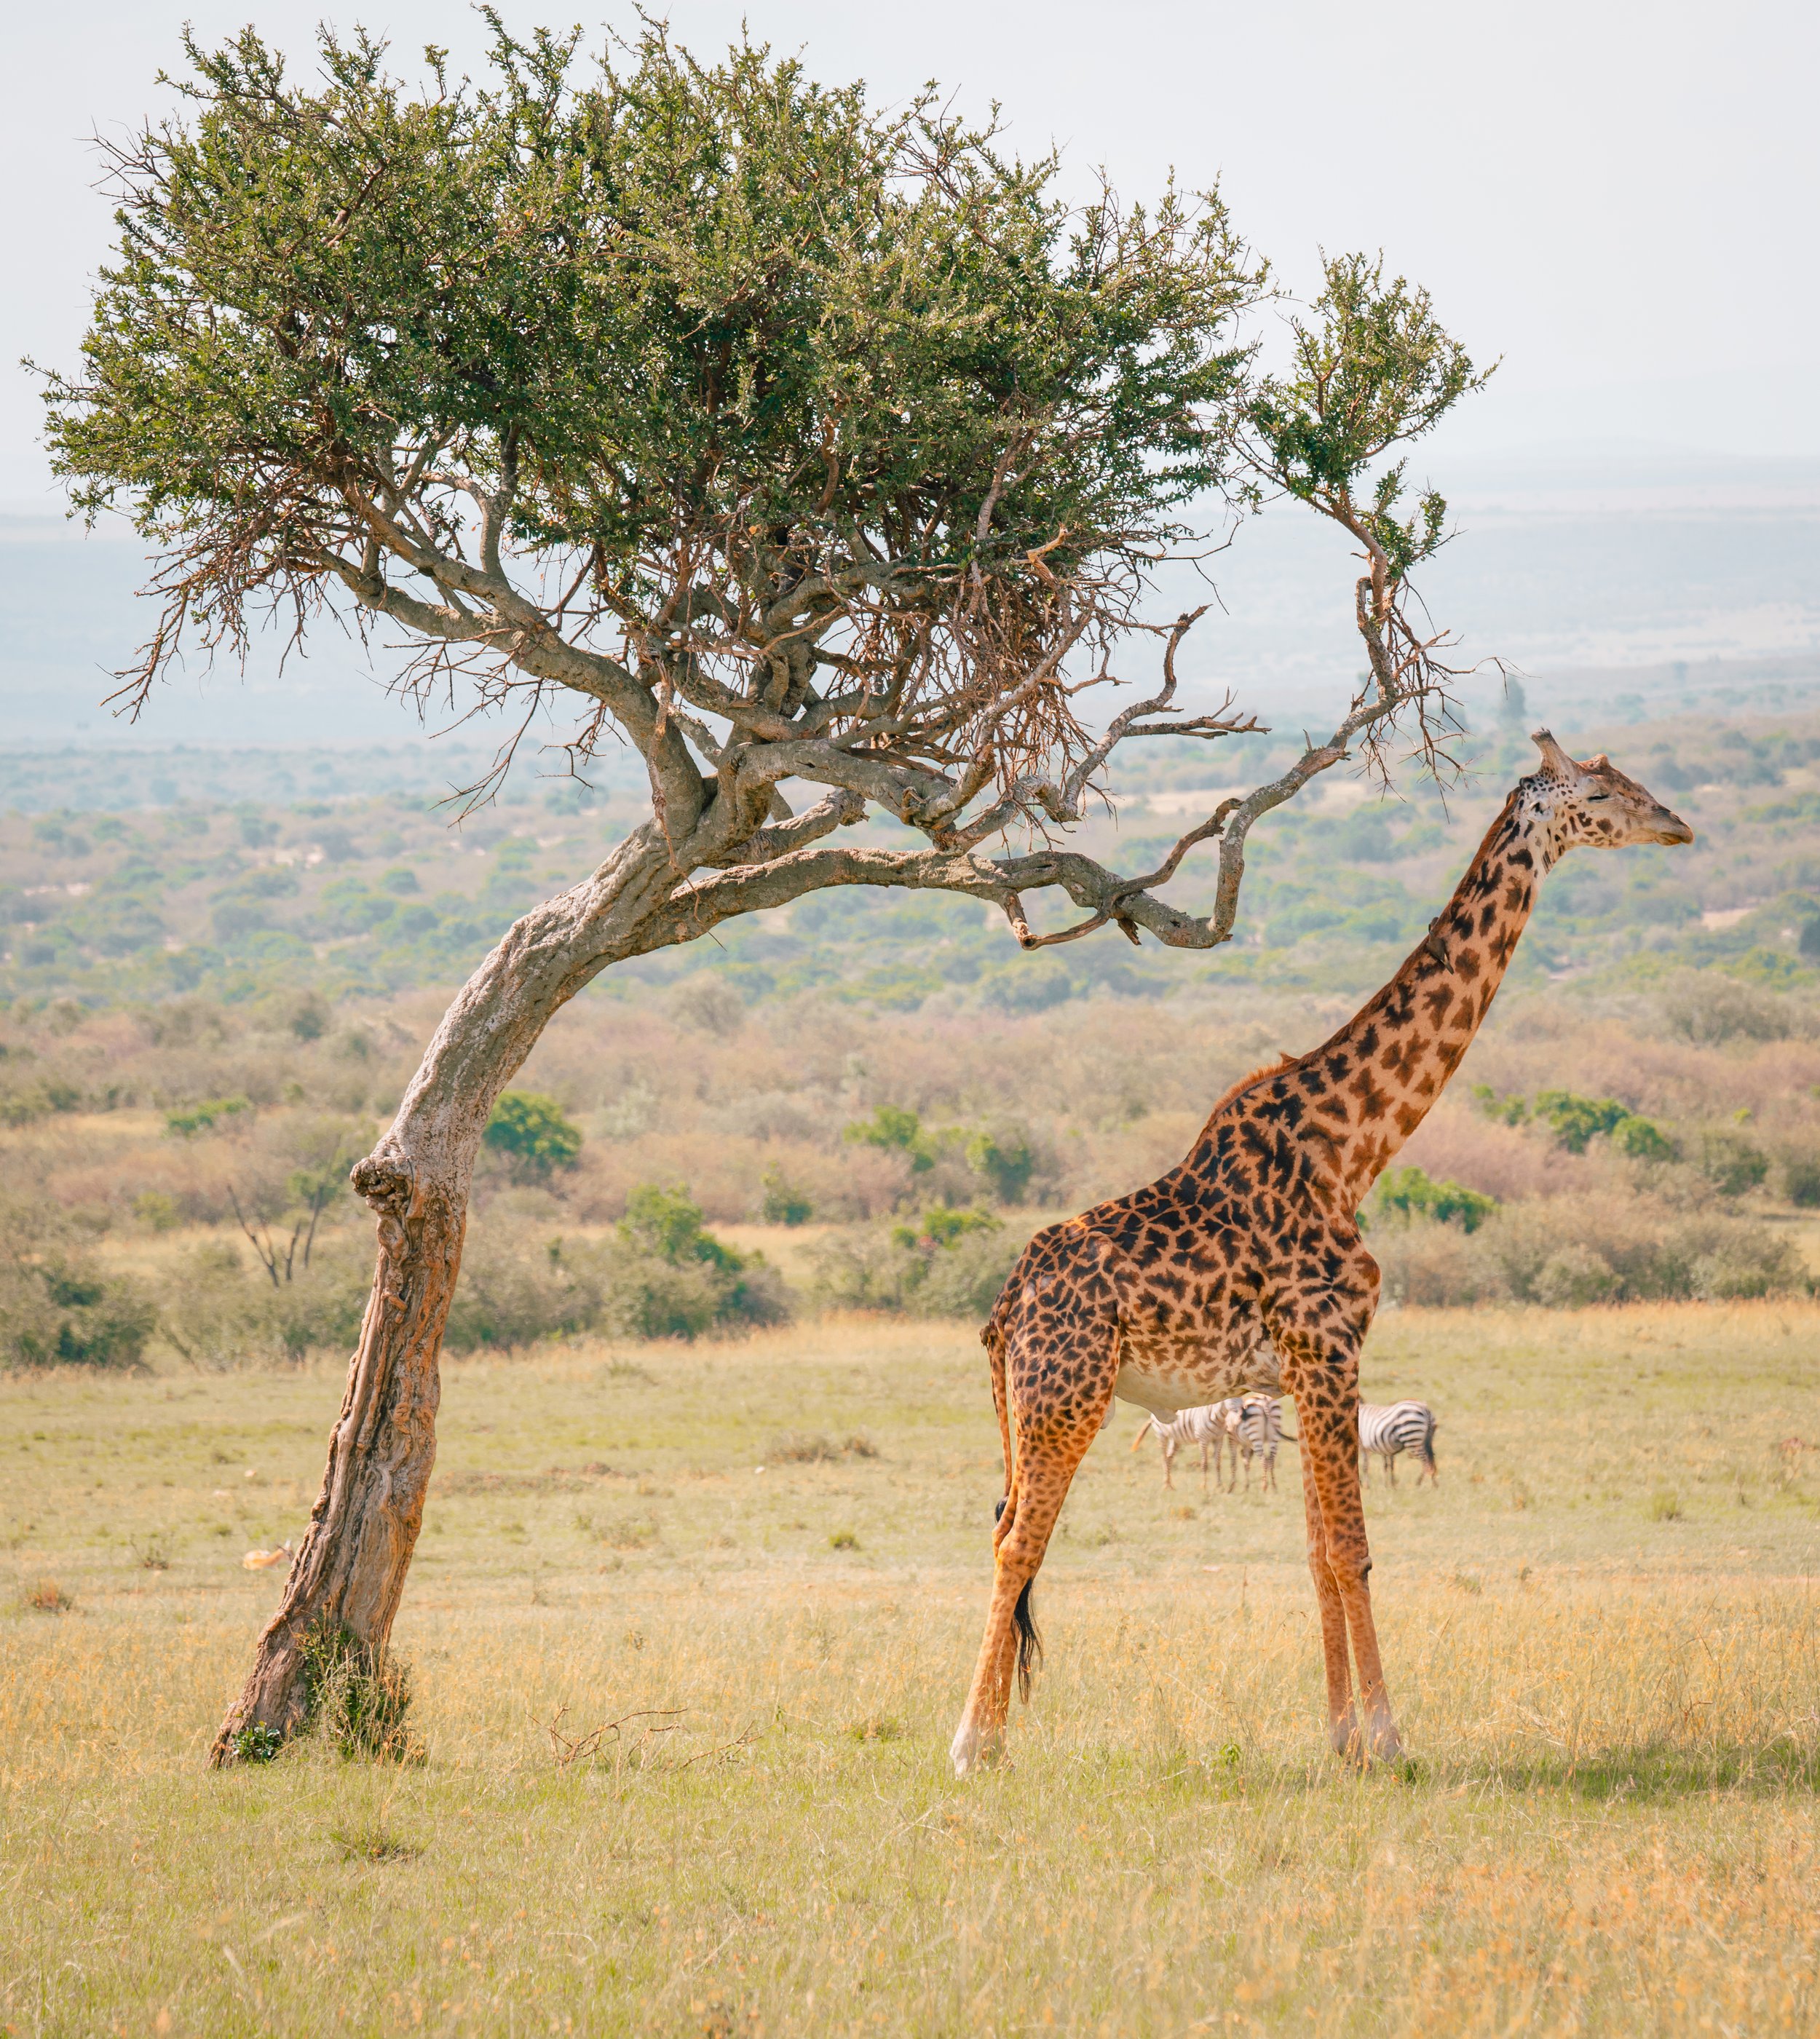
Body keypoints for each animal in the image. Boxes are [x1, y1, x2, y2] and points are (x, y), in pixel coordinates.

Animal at [950, 731, 1693, 1775]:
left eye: (1629, 780)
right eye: (1599, 793)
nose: (1677, 823)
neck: (1354, 1149)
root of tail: (1005, 1306)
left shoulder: (1301, 1366)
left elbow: (1313, 1550)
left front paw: (1340, 1737)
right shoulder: (1330, 1344)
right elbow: (1353, 1547)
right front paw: (1386, 1739)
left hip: (1031, 1399)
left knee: (1005, 1532)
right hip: (1066, 1389)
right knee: (1018, 1540)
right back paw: (973, 1746)